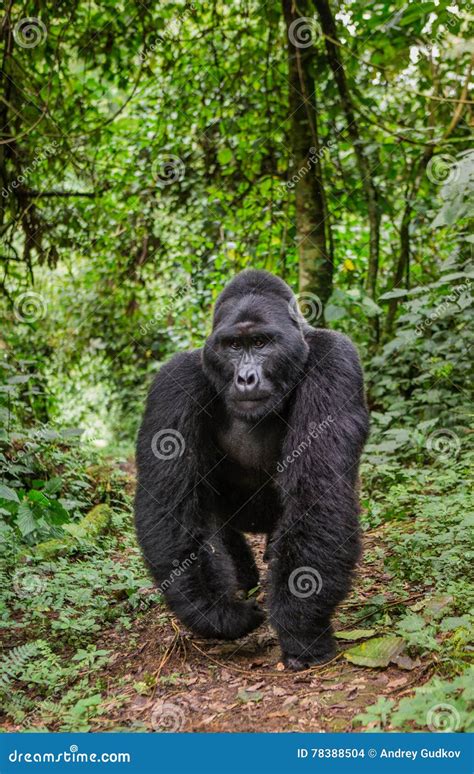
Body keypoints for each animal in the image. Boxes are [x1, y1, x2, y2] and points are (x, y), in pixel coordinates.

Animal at [135, 270, 368, 668]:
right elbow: (168, 502)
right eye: (232, 346)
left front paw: (300, 626)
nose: (246, 378)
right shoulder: (174, 380)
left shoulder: (334, 359)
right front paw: (217, 613)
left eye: (260, 343)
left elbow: (317, 490)